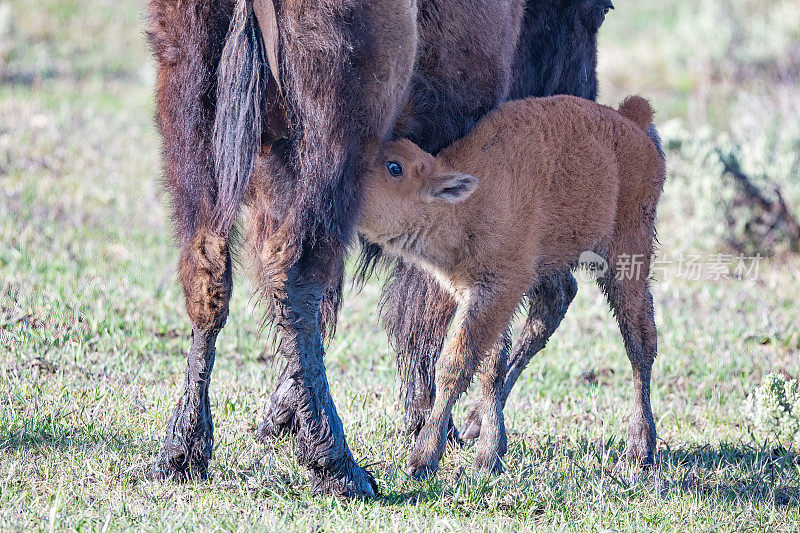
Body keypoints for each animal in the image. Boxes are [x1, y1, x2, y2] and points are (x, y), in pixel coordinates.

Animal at [148, 0, 612, 494]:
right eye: (596, 11)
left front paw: (280, 417)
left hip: (191, 117)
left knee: (208, 272)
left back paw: (182, 454)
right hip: (338, 135)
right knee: (295, 274)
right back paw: (340, 468)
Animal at [360, 93, 664, 476]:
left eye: (395, 168)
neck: (468, 201)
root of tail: (632, 118)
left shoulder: (498, 291)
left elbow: (455, 365)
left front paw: (424, 458)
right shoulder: (477, 295)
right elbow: (490, 366)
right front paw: (490, 454)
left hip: (627, 258)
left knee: (639, 341)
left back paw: (641, 448)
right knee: (550, 315)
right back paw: (476, 423)